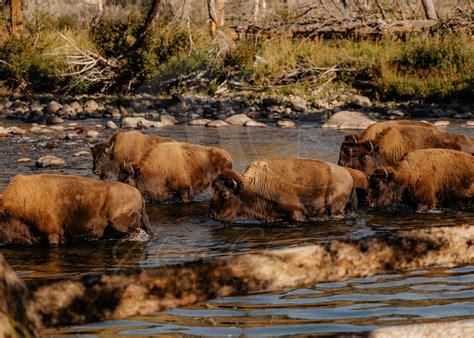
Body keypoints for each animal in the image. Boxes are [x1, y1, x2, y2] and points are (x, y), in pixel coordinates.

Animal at [209, 158, 358, 224]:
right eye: (214, 191)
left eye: (224, 194)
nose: (212, 214)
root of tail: (348, 174)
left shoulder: (295, 211)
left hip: (335, 206)